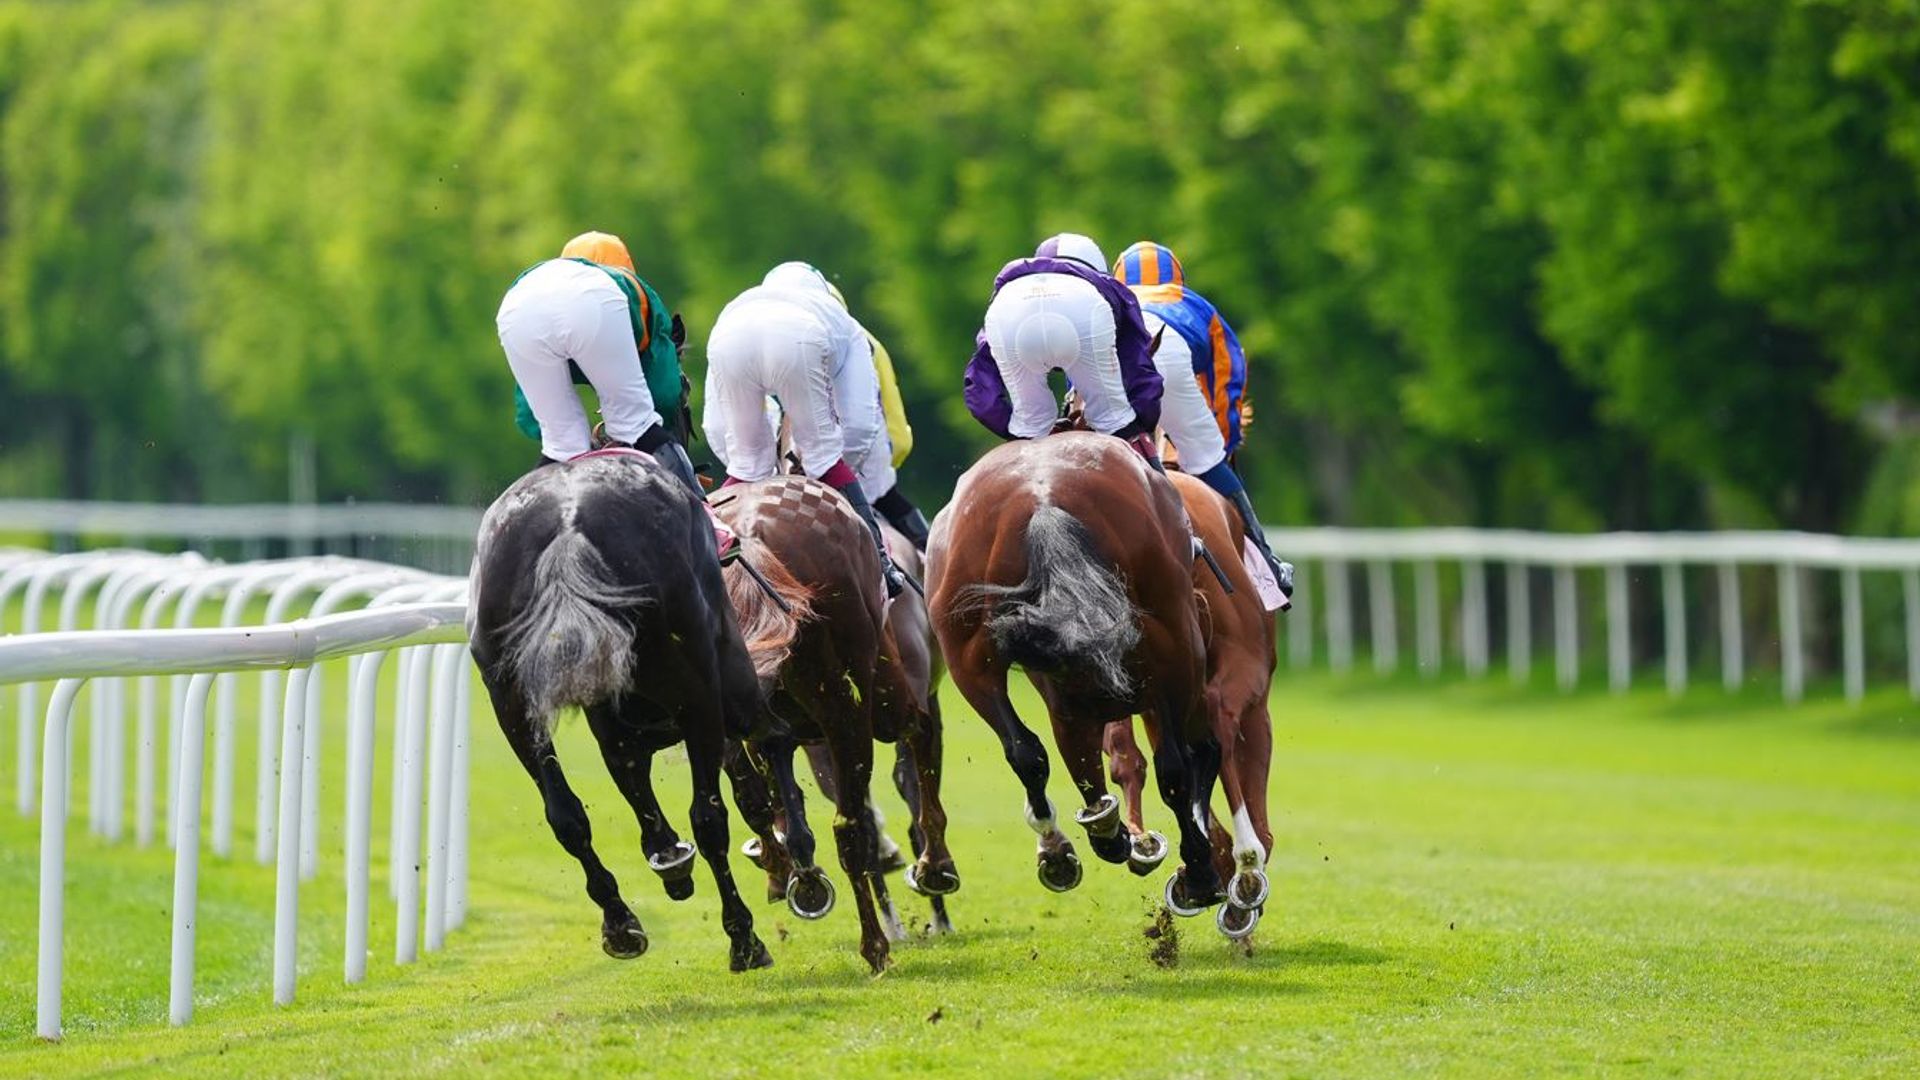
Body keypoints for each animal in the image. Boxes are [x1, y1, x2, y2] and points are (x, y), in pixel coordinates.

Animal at [466, 449, 794, 972]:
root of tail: (568, 528)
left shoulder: (616, 729)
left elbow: (642, 805)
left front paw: (671, 862)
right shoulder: (716, 696)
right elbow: (754, 777)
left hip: (510, 701)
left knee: (566, 816)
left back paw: (621, 924)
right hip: (704, 686)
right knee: (714, 812)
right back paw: (746, 937)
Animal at [921, 430, 1221, 914]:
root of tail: (1041, 499)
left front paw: (1109, 834)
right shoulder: (1175, 663)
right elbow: (1179, 765)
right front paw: (1195, 870)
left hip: (968, 656)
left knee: (1026, 751)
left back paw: (1070, 846)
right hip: (1174, 644)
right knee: (1183, 759)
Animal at [1105, 468, 1282, 933]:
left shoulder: (1157, 701)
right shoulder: (1254, 700)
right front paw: (1237, 880)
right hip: (1239, 670)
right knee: (1220, 726)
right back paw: (1244, 866)